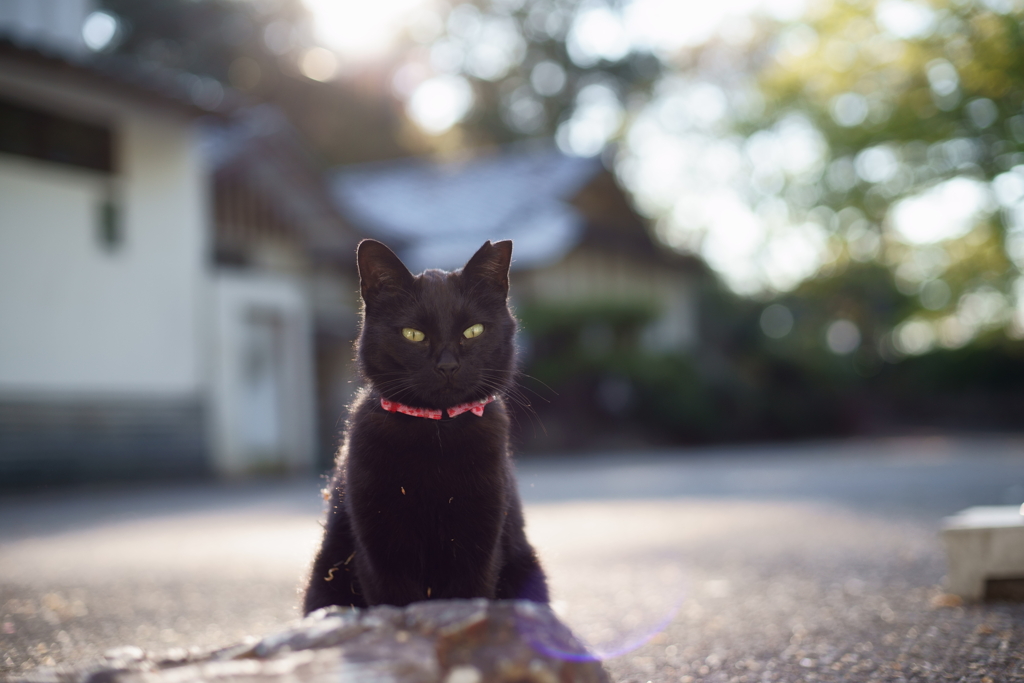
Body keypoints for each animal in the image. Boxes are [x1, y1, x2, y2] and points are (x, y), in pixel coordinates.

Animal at [299, 240, 548, 614]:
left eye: (473, 331)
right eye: (413, 335)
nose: (447, 366)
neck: (436, 434)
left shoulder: (480, 542)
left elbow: (468, 599)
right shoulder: (379, 549)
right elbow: (397, 605)